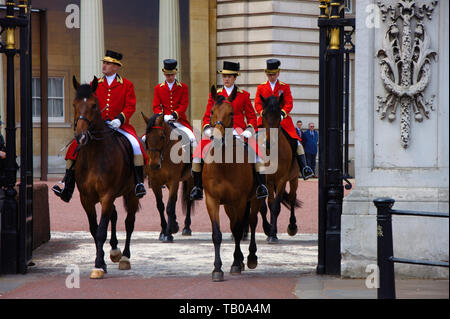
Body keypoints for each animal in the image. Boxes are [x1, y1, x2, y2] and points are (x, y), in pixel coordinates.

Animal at [71, 75, 139, 280]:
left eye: (94, 105)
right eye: (74, 104)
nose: (81, 137)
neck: (95, 154)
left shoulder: (107, 195)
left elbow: (101, 230)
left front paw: (98, 266)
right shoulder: (86, 198)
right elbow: (95, 229)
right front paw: (100, 261)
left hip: (131, 194)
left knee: (129, 222)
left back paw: (124, 257)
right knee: (114, 215)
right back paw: (115, 250)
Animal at [142, 114, 194, 242]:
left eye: (162, 137)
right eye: (147, 137)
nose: (154, 165)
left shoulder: (173, 180)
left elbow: (169, 206)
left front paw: (169, 233)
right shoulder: (155, 182)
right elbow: (160, 206)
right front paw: (163, 232)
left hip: (189, 179)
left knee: (188, 200)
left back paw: (186, 227)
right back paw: (175, 225)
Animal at [202, 85, 258, 282]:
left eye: (232, 113)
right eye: (211, 111)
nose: (217, 138)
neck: (224, 165)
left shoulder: (240, 200)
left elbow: (238, 229)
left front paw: (234, 263)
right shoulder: (212, 200)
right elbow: (217, 234)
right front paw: (217, 269)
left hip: (254, 199)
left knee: (251, 222)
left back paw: (250, 258)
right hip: (228, 205)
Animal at [258, 94, 300, 244]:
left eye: (278, 115)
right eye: (264, 114)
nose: (269, 143)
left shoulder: (282, 179)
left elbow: (276, 206)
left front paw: (273, 234)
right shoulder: (267, 180)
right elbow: (269, 204)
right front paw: (270, 231)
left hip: (293, 179)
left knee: (292, 198)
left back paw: (292, 226)